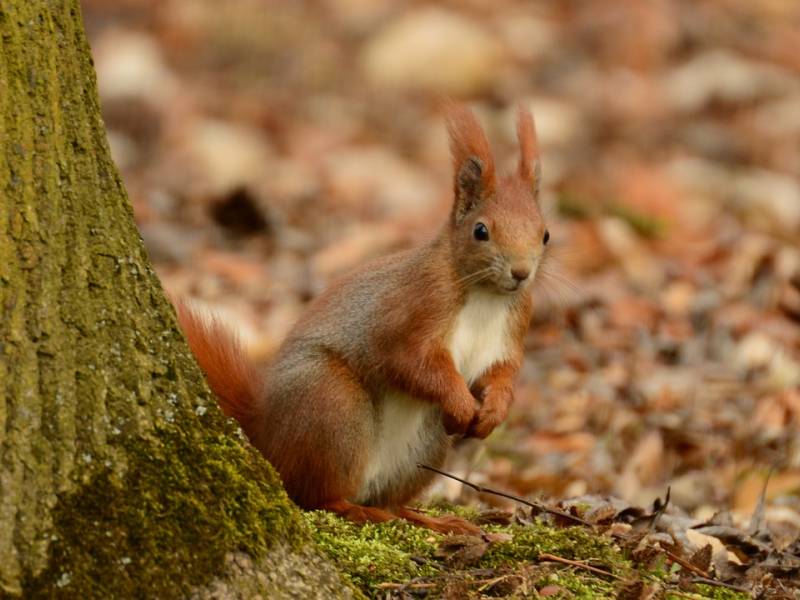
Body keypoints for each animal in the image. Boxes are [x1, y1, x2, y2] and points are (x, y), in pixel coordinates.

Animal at [177, 104, 548, 536]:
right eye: (481, 231)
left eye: (545, 235)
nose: (521, 273)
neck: (486, 295)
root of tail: (267, 434)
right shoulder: (411, 311)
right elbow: (411, 362)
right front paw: (460, 402)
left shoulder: (513, 328)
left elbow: (503, 372)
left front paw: (493, 412)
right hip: (332, 404)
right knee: (316, 496)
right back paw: (357, 510)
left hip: (423, 447)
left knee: (391, 501)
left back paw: (432, 520)